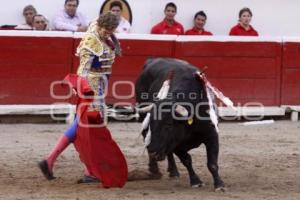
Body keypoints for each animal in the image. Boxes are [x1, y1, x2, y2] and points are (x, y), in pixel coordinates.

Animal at [135, 57, 225, 191]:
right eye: (151, 124)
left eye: (168, 125)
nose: (153, 152)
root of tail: (152, 60)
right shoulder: (176, 143)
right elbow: (187, 160)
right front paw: (196, 181)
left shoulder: (212, 134)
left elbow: (212, 163)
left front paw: (219, 184)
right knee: (148, 139)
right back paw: (155, 170)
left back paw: (173, 171)